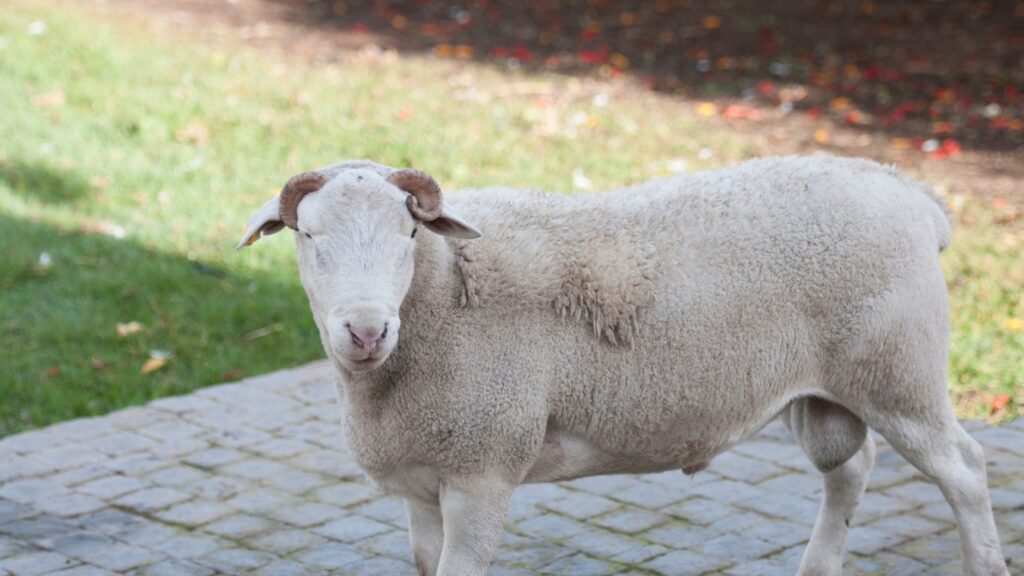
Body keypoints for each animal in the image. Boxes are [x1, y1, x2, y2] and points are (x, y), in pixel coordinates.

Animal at [237, 155, 1007, 573]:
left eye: (407, 233)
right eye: (308, 237)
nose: (366, 331)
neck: (440, 294)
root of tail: (912, 195)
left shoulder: (485, 466)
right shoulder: (424, 480)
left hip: (899, 369)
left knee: (965, 470)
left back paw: (985, 562)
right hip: (828, 386)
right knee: (849, 469)